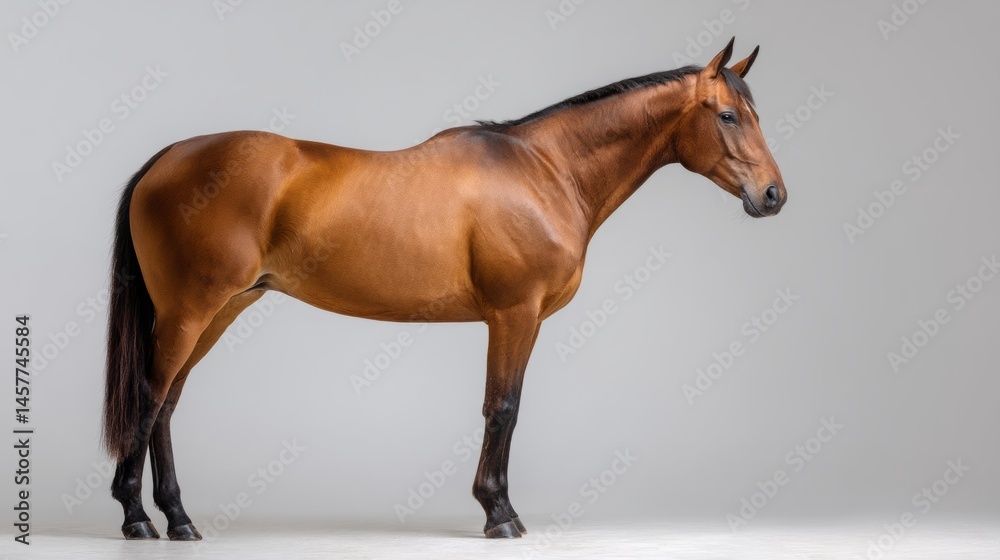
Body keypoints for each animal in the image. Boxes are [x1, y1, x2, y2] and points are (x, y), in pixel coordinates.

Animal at [103, 38, 786, 541]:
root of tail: (167, 158)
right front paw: (499, 514)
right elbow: (503, 407)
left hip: (219, 310)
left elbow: (504, 407)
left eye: (756, 115)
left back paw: (179, 519)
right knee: (149, 396)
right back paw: (138, 519)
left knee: (167, 403)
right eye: (728, 115)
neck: (545, 171)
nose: (774, 195)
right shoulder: (515, 314)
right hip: (191, 310)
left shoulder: (518, 318)